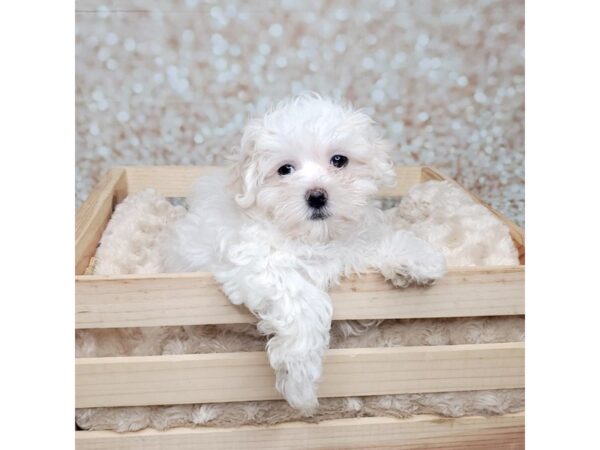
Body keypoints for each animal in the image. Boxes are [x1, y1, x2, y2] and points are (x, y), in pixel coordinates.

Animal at [164, 95, 446, 414]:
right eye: (285, 169)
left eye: (339, 160)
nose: (317, 196)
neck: (314, 237)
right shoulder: (257, 264)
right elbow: (301, 302)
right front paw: (300, 381)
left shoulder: (351, 240)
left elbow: (374, 240)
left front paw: (418, 258)